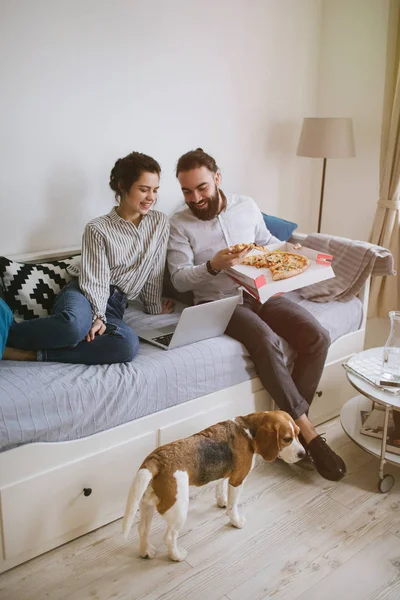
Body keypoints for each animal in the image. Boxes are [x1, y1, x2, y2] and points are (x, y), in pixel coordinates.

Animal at [123, 410, 304, 560]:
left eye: (298, 433)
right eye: (287, 439)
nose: (303, 454)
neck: (248, 430)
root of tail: (156, 461)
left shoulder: (225, 475)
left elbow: (220, 486)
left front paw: (221, 501)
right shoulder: (237, 480)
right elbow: (233, 506)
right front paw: (236, 521)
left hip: (146, 504)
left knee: (142, 529)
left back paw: (146, 551)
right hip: (179, 509)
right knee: (169, 537)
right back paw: (177, 556)